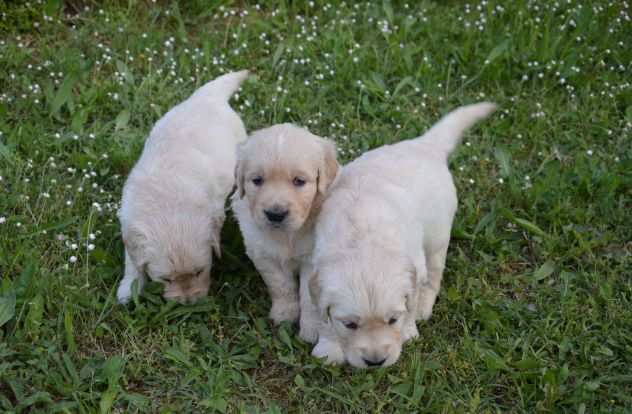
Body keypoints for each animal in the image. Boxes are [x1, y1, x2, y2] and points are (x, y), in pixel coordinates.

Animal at [116, 70, 249, 304]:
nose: (188, 303)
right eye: (165, 279)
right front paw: (129, 288)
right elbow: (132, 260)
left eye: (200, 271)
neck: (166, 201)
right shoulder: (129, 221)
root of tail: (207, 96)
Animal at [232, 123, 340, 330]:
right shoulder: (264, 255)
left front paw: (311, 327)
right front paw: (284, 314)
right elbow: (280, 285)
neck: (287, 235)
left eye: (299, 181)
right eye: (257, 180)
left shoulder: (311, 258)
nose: (275, 214)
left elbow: (308, 295)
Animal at [304, 102, 496, 368]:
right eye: (350, 324)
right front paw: (329, 347)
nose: (375, 362)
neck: (363, 239)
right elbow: (321, 314)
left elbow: (412, 302)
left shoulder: (416, 267)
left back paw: (426, 304)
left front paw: (408, 331)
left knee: (435, 274)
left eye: (393, 320)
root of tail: (425, 145)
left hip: (437, 235)